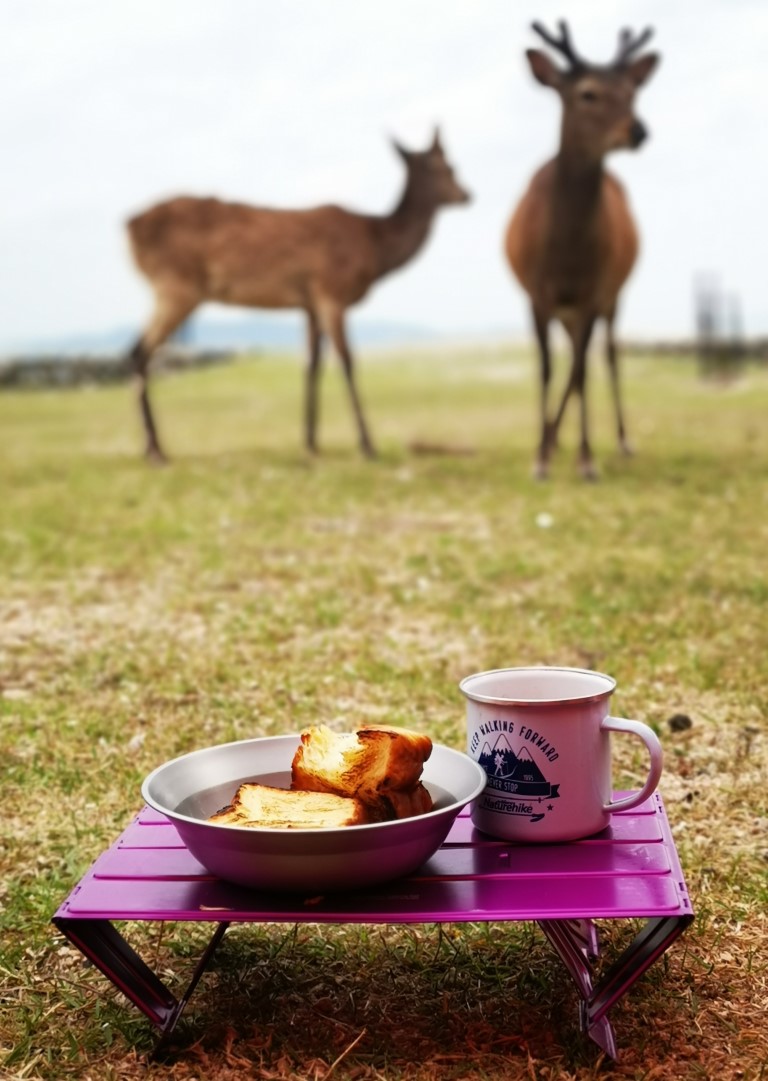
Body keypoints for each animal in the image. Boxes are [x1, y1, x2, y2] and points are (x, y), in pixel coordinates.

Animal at [126, 128, 469, 462]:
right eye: (449, 168)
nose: (467, 194)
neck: (375, 246)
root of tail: (128, 226)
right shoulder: (332, 291)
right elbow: (346, 361)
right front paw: (367, 445)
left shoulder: (309, 303)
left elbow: (311, 365)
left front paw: (311, 443)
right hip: (176, 287)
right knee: (139, 350)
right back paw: (154, 448)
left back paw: (148, 445)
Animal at [506, 19, 661, 477]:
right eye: (587, 92)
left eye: (632, 92)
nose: (637, 130)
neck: (567, 253)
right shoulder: (536, 293)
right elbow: (545, 368)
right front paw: (540, 458)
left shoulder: (594, 290)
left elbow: (581, 371)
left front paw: (587, 459)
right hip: (566, 309)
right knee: (574, 360)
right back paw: (553, 439)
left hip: (613, 294)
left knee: (605, 355)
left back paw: (621, 440)